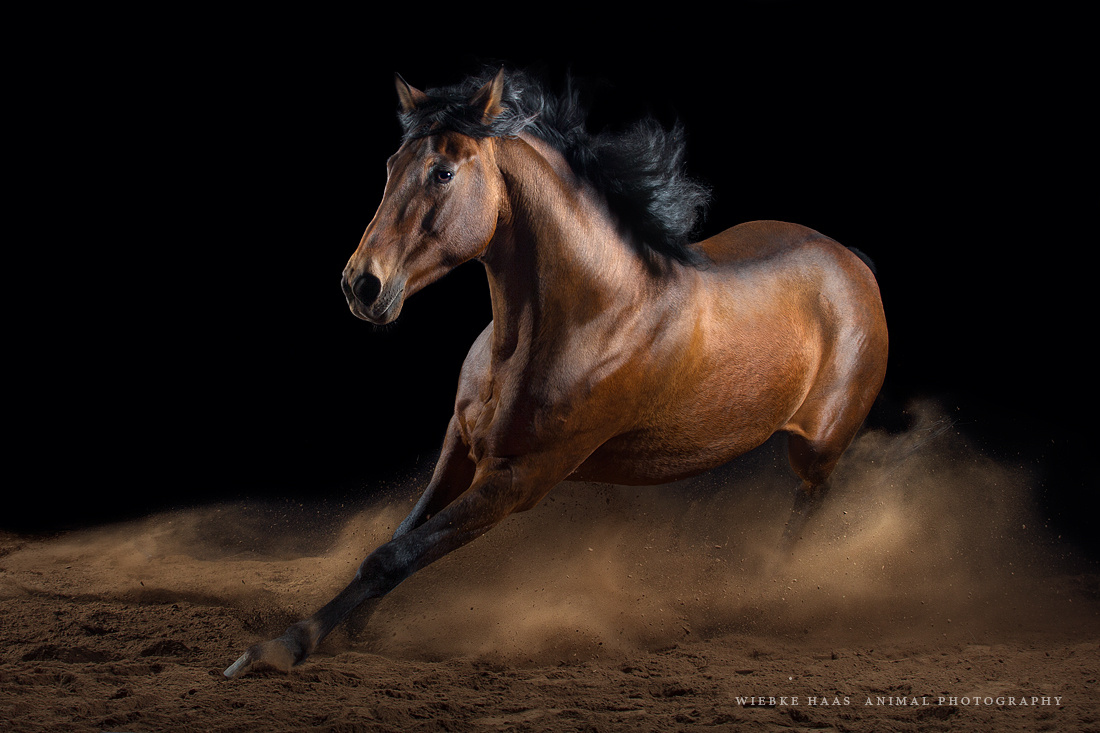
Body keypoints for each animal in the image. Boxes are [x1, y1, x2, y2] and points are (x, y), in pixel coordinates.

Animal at [224, 68, 888, 678]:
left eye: (443, 172)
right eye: (391, 163)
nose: (361, 285)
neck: (587, 315)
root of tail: (854, 261)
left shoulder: (519, 480)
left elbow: (396, 555)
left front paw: (278, 649)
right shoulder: (460, 443)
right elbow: (397, 537)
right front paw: (350, 626)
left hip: (820, 449)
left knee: (808, 509)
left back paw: (770, 590)